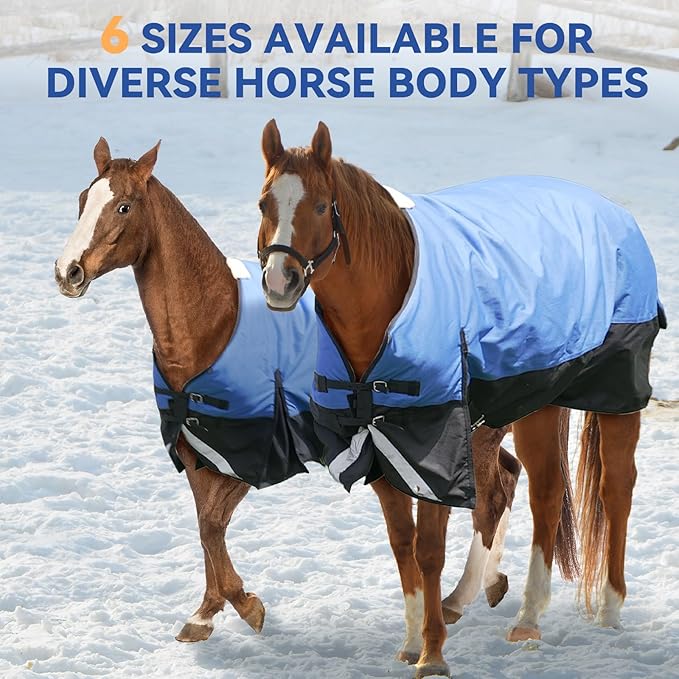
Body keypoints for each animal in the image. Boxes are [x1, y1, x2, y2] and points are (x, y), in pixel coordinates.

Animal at [53, 138, 521, 655]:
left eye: (123, 206)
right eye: (82, 200)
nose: (68, 272)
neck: (213, 325)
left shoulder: (252, 456)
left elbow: (212, 525)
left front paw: (245, 606)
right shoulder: (197, 453)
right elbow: (205, 529)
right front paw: (206, 613)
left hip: (469, 437)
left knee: (491, 498)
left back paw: (460, 598)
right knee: (506, 478)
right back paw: (487, 586)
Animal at [256, 120, 664, 678]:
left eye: (320, 206)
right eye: (263, 204)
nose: (281, 280)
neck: (387, 312)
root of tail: (612, 213)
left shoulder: (435, 450)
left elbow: (428, 550)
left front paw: (432, 654)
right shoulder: (379, 446)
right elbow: (403, 545)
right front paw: (412, 641)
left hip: (613, 397)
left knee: (611, 490)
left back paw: (604, 611)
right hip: (536, 400)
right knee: (534, 490)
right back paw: (506, 607)